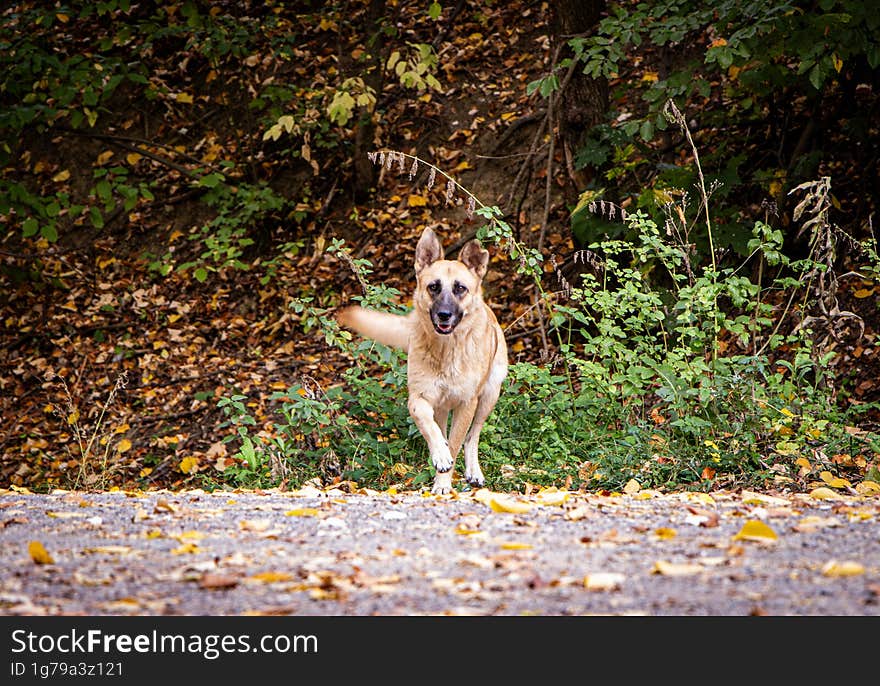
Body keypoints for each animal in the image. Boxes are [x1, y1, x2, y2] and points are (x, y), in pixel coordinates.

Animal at [336, 230, 508, 494]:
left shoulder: (467, 404)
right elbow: (431, 429)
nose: (444, 315)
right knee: (442, 428)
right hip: (444, 406)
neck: (446, 351)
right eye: (433, 287)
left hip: (489, 395)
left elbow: (457, 444)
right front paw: (440, 457)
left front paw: (444, 481)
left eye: (460, 288)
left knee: (473, 435)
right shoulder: (419, 399)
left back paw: (473, 471)